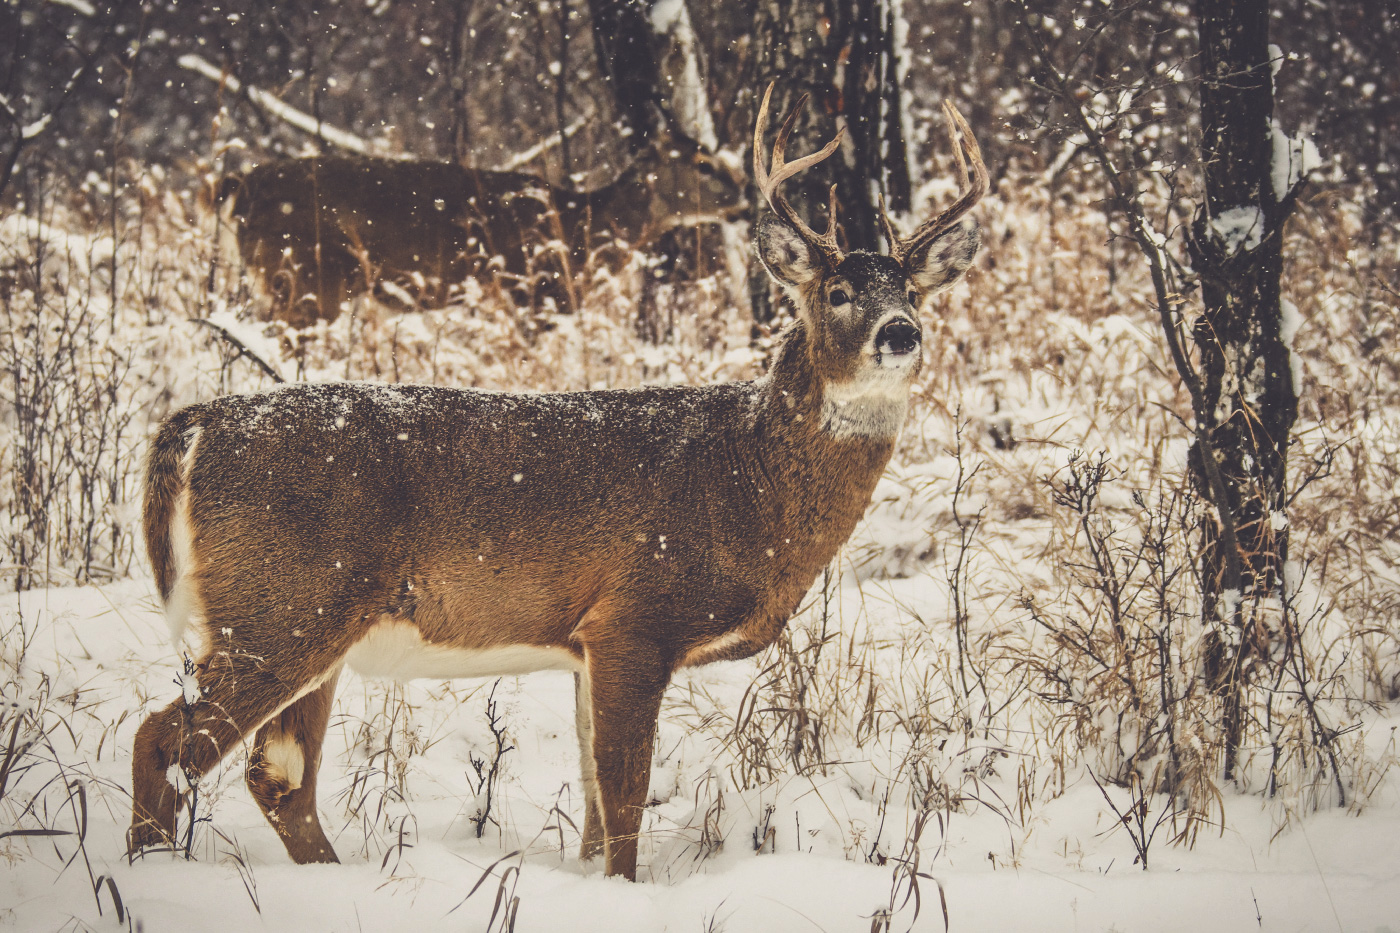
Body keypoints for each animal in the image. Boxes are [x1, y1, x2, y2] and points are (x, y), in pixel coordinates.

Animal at [217, 121, 744, 329]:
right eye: (703, 164)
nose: (744, 191)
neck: (583, 231)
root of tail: (242, 188)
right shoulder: (535, 291)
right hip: (310, 276)